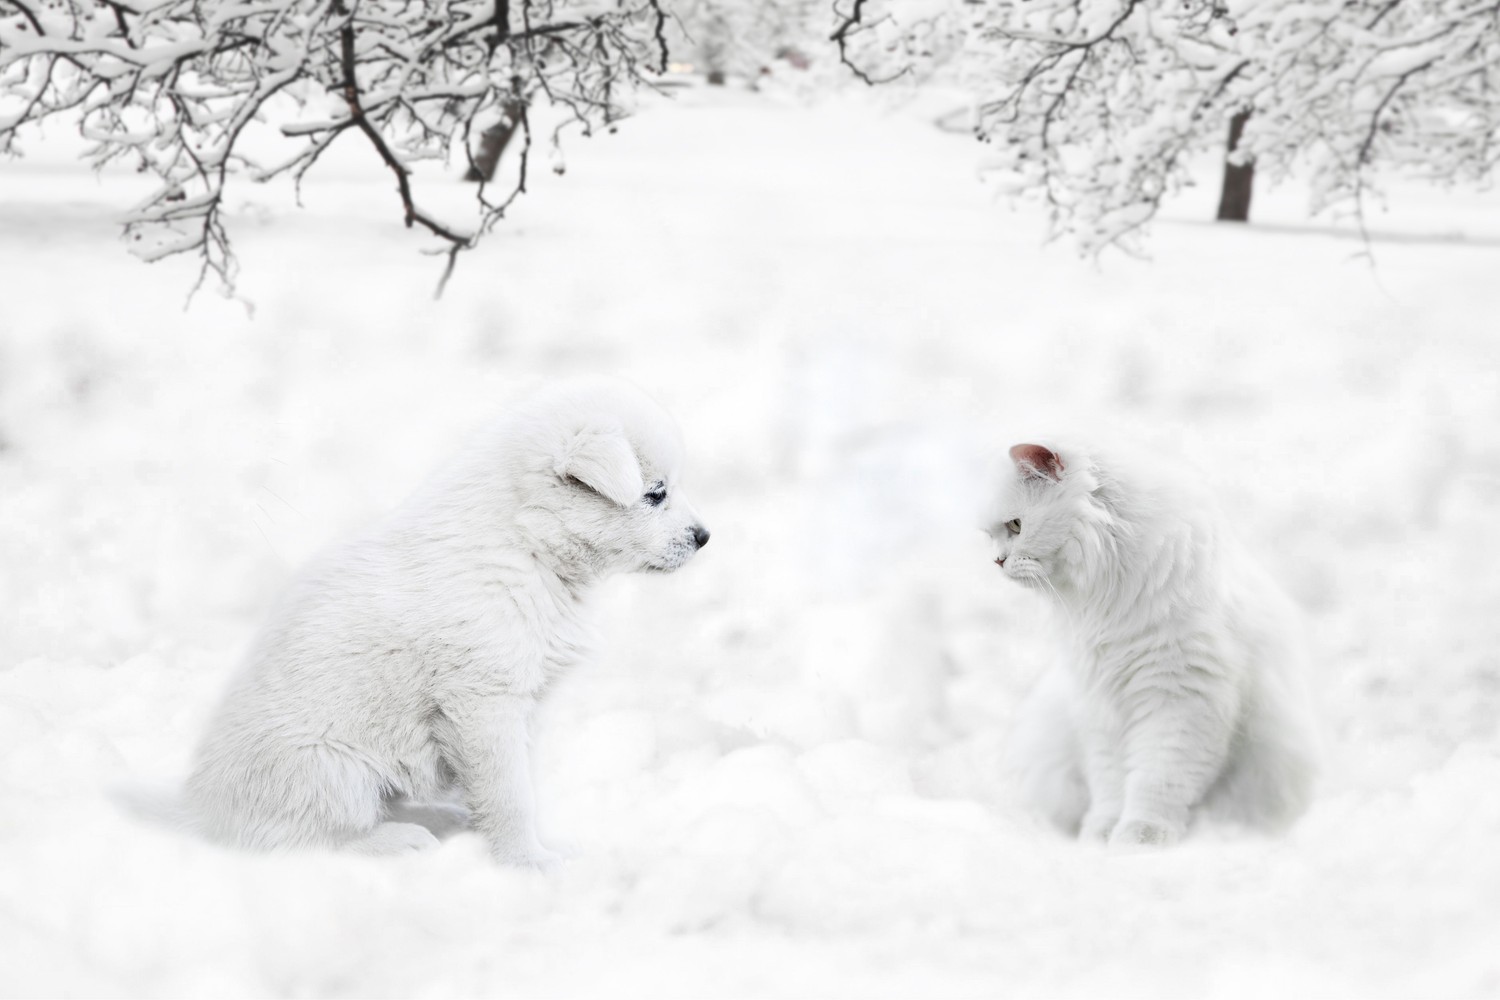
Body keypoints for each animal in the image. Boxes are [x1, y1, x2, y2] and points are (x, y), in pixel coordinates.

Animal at [181, 379, 708, 863]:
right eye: (655, 493)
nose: (705, 536)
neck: (526, 545)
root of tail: (197, 812)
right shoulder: (484, 701)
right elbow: (511, 792)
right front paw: (527, 861)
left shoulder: (522, 702)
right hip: (330, 770)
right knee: (306, 839)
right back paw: (399, 841)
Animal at [990, 440, 1320, 845]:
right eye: (993, 533)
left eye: (1015, 525)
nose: (997, 560)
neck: (1108, 599)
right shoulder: (1100, 705)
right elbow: (1111, 784)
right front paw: (1100, 836)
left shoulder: (1180, 699)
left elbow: (1157, 780)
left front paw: (1140, 838)